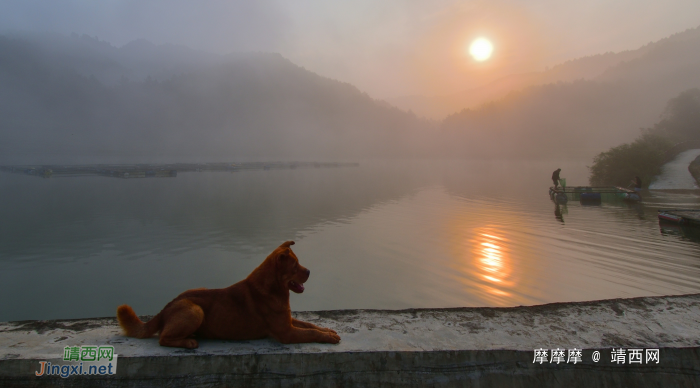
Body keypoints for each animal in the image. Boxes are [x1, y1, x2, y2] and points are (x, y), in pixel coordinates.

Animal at [117, 241, 340, 348]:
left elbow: (310, 325)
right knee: (163, 338)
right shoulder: (286, 332)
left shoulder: (288, 321)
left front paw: (328, 330)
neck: (273, 288)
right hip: (195, 310)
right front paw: (328, 337)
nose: (309, 271)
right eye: (295, 266)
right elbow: (310, 333)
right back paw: (188, 342)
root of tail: (167, 306)